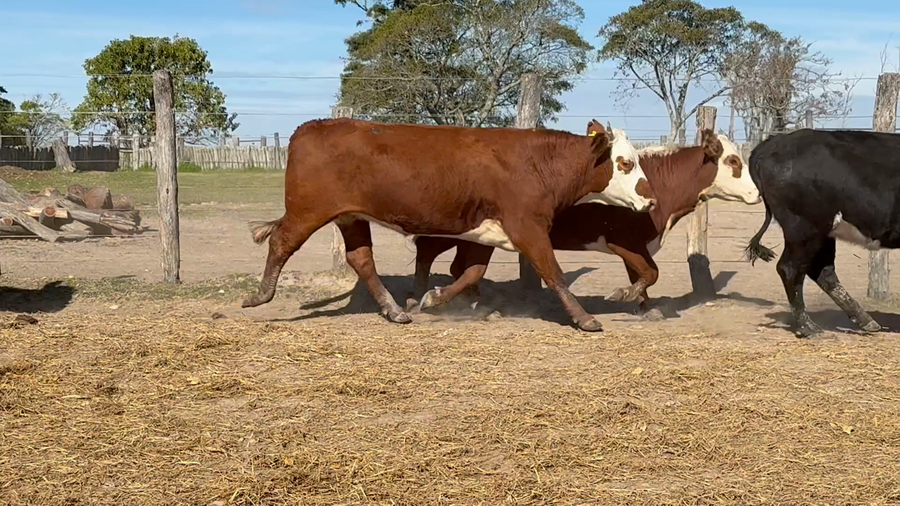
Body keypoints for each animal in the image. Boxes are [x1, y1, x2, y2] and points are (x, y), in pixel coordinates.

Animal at [241, 117, 655, 332]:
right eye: (626, 163)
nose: (650, 199)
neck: (536, 163)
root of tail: (310, 127)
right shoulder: (528, 227)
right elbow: (553, 272)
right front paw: (584, 318)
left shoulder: (487, 233)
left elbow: (470, 272)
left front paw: (434, 298)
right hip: (307, 211)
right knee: (281, 242)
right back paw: (260, 296)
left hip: (351, 218)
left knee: (362, 260)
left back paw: (395, 310)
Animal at [407, 120, 761, 317]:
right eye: (732, 161)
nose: (758, 193)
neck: (659, 184)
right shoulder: (625, 241)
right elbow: (650, 272)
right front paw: (624, 296)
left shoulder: (635, 246)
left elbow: (642, 275)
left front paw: (645, 306)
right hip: (452, 228)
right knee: (427, 251)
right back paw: (421, 297)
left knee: (457, 267)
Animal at [745, 128, 900, 338]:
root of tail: (776, 141)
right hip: (805, 229)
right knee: (790, 268)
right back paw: (808, 327)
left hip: (823, 233)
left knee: (823, 272)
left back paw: (865, 320)